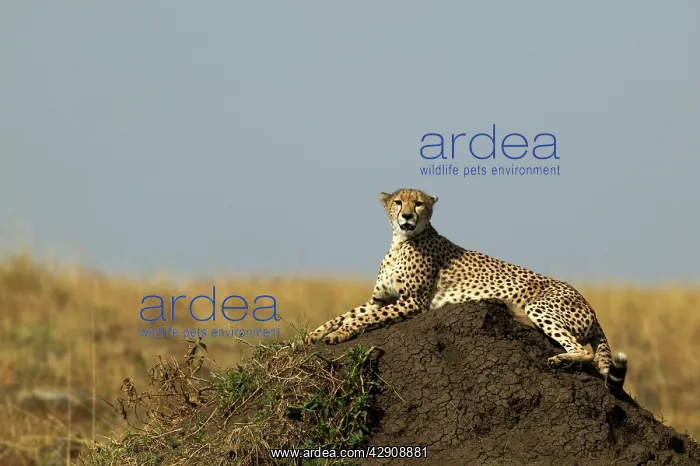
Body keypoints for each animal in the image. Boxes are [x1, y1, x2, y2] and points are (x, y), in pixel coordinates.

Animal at [304, 188, 629, 393]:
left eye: (418, 203)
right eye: (397, 202)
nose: (407, 216)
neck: (401, 242)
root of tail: (590, 306)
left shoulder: (413, 303)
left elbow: (361, 319)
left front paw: (339, 335)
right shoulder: (379, 300)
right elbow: (347, 314)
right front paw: (313, 335)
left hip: (541, 306)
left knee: (582, 351)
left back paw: (557, 356)